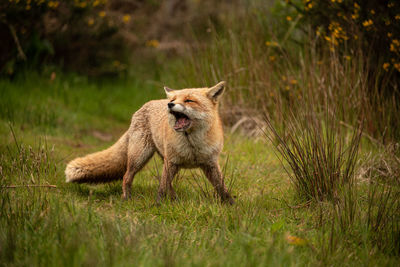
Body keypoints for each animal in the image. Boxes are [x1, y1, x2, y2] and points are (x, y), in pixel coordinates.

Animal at [65, 81, 234, 205]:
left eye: (189, 100)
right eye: (173, 100)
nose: (169, 105)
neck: (192, 145)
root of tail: (143, 107)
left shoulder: (210, 163)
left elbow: (221, 187)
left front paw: (230, 205)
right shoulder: (171, 161)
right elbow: (161, 188)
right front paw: (158, 205)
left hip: (163, 161)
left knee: (168, 183)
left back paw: (174, 200)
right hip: (140, 157)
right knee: (127, 177)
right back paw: (127, 198)